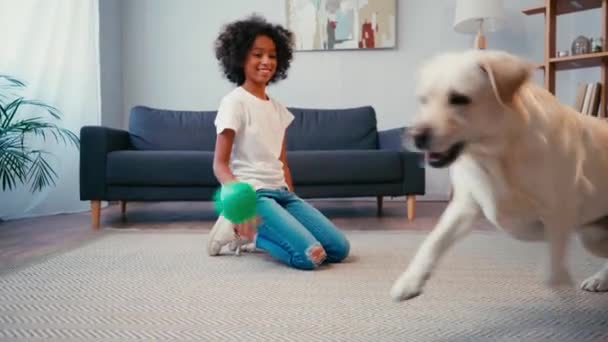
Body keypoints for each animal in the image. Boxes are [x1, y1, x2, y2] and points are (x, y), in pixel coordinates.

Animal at [390, 49, 608, 300]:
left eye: (459, 99)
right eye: (423, 100)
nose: (414, 136)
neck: (494, 156)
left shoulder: (562, 209)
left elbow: (552, 265)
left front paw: (561, 284)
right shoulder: (465, 206)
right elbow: (433, 241)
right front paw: (410, 281)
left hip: (591, 237)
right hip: (592, 237)